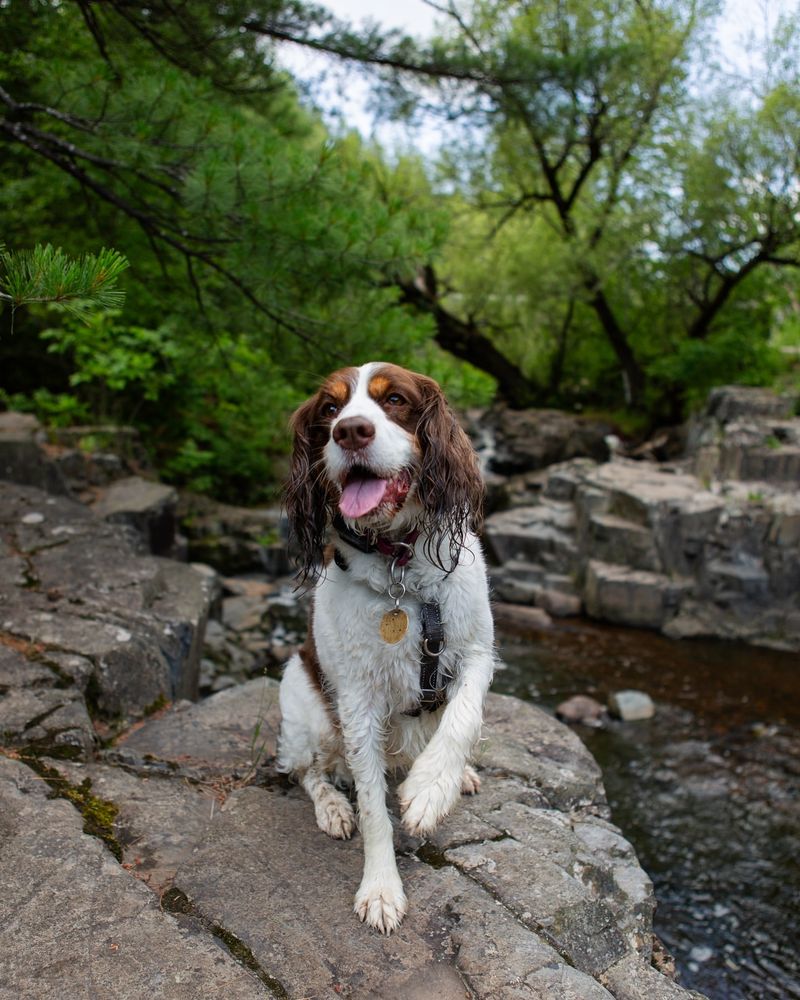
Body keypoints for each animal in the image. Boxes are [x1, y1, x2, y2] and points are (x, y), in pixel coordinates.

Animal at [278, 364, 496, 932]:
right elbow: (373, 804)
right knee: (308, 772)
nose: (350, 431)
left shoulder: (477, 652)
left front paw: (430, 790)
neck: (400, 565)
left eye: (394, 399)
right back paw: (333, 808)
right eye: (330, 409)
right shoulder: (357, 701)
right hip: (306, 709)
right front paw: (380, 888)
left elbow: (462, 717)